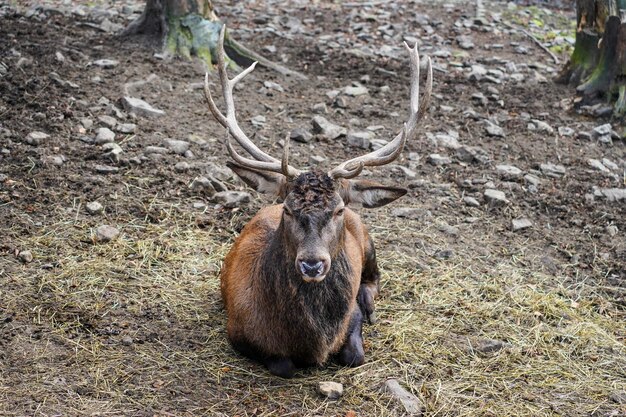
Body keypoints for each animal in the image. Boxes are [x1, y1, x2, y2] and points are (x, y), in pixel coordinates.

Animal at [204, 26, 428, 376]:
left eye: (338, 210)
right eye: (287, 208)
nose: (312, 263)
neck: (312, 341)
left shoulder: (350, 320)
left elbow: (355, 355)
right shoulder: (237, 330)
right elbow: (283, 365)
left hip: (368, 243)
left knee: (375, 278)